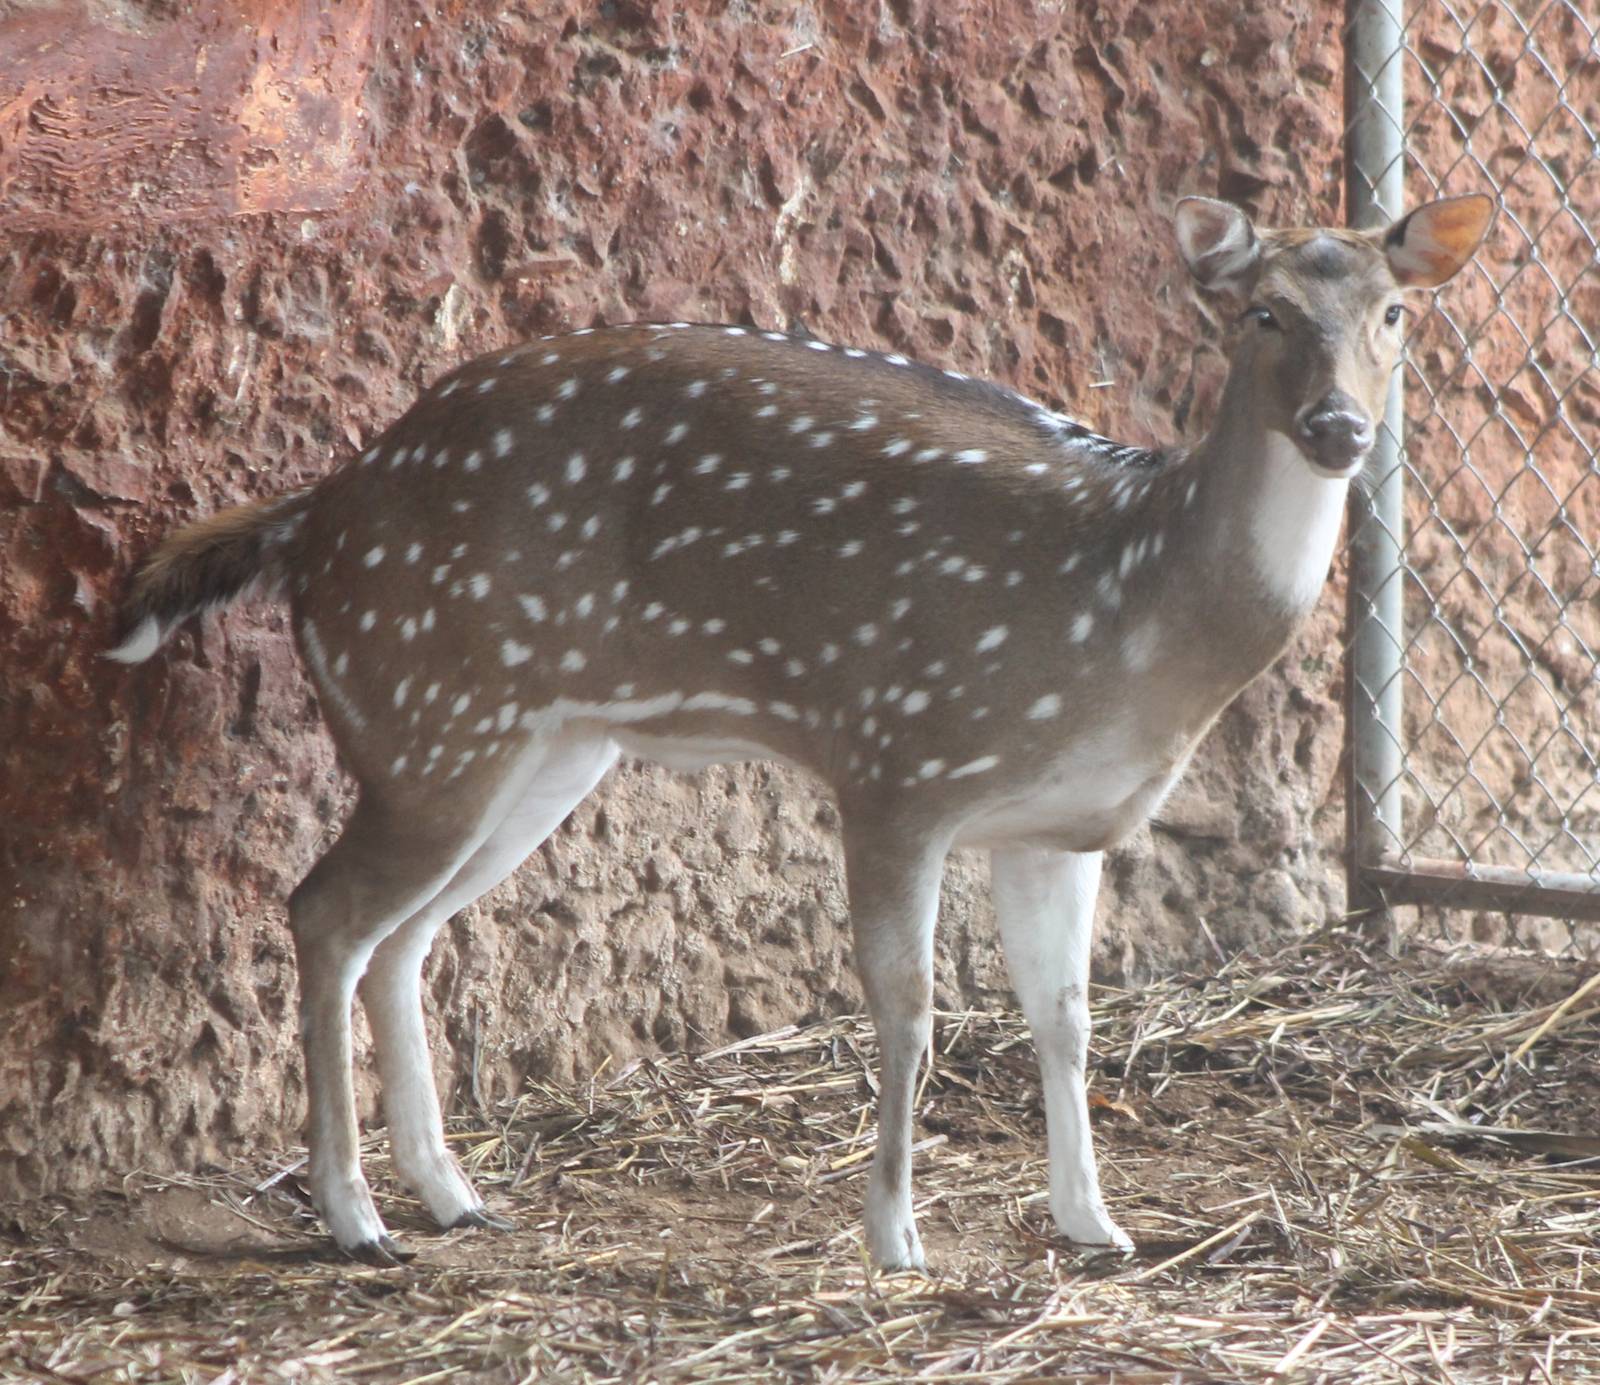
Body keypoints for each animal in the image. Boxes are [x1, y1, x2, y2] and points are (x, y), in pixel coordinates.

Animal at [108, 192, 1492, 1269]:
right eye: (1260, 312)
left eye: (1394, 313)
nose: (1339, 428)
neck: (1134, 611)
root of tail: (318, 513)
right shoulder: (896, 760)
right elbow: (910, 1007)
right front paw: (896, 1238)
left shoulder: (1058, 822)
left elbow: (1065, 1016)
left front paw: (1095, 1222)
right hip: (427, 709)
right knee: (325, 910)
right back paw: (355, 1217)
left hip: (535, 743)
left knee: (405, 933)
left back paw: (453, 1196)